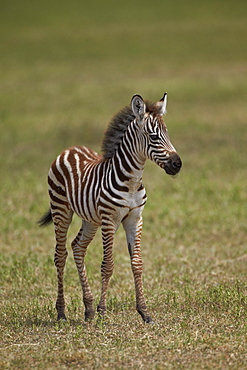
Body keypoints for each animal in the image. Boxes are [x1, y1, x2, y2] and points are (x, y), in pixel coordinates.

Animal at [39, 93, 181, 324]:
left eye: (167, 134)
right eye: (153, 137)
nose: (178, 164)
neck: (132, 181)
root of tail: (70, 149)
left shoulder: (135, 219)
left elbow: (137, 264)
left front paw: (144, 312)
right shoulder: (109, 220)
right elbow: (108, 265)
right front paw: (103, 311)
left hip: (90, 220)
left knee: (78, 247)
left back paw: (87, 308)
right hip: (61, 210)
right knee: (60, 255)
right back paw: (61, 312)